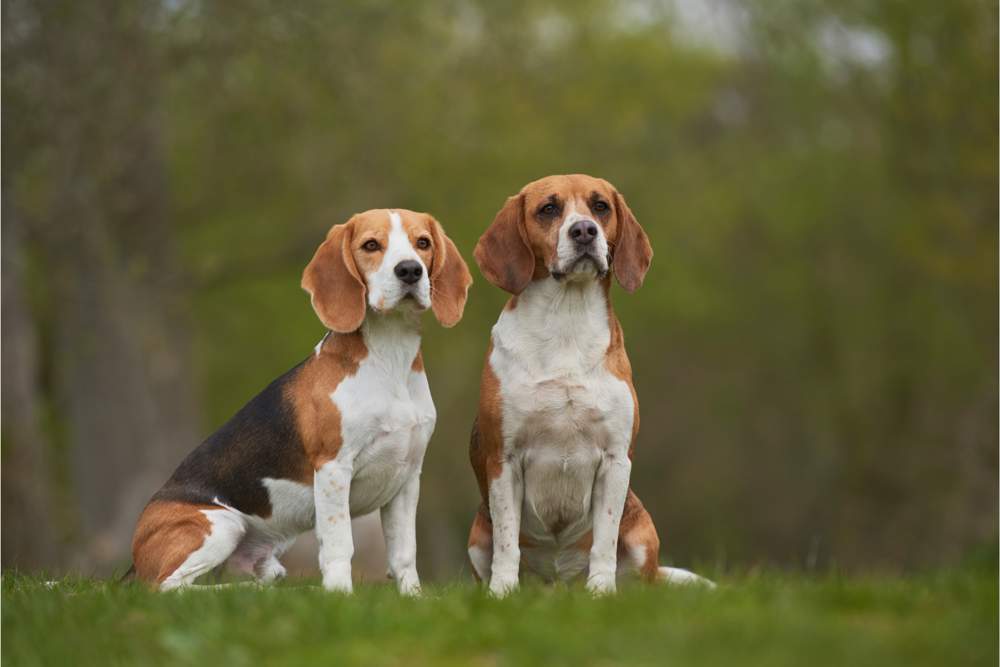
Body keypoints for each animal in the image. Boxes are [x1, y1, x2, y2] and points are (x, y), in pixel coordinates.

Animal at [130, 210, 472, 596]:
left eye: (422, 243)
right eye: (371, 245)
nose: (410, 270)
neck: (390, 357)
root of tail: (135, 556)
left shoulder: (407, 476)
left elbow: (403, 552)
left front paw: (412, 597)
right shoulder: (334, 468)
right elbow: (339, 544)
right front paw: (340, 596)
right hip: (221, 524)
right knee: (168, 588)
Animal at [468, 175, 712, 596]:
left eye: (600, 207)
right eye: (548, 209)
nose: (584, 231)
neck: (567, 318)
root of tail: (557, 586)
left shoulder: (615, 459)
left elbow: (604, 538)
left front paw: (601, 591)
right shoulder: (504, 458)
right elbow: (507, 542)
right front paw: (502, 592)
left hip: (643, 534)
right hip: (476, 537)